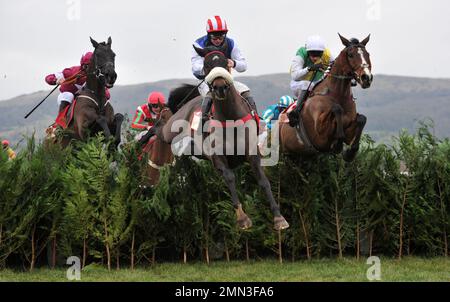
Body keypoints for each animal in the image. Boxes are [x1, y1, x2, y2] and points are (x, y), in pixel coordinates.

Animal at [154, 44, 288, 230]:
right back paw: (158, 119)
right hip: (170, 130)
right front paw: (242, 218)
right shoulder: (218, 157)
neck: (230, 118)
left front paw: (278, 217)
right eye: (206, 65)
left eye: (225, 62)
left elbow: (263, 180)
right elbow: (230, 178)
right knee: (161, 130)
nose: (220, 87)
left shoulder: (252, 153)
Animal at [282, 33, 372, 162]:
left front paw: (349, 153)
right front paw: (338, 145)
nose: (366, 78)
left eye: (368, 54)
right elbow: (337, 109)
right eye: (350, 55)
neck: (338, 95)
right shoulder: (320, 133)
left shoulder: (350, 131)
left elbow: (362, 119)